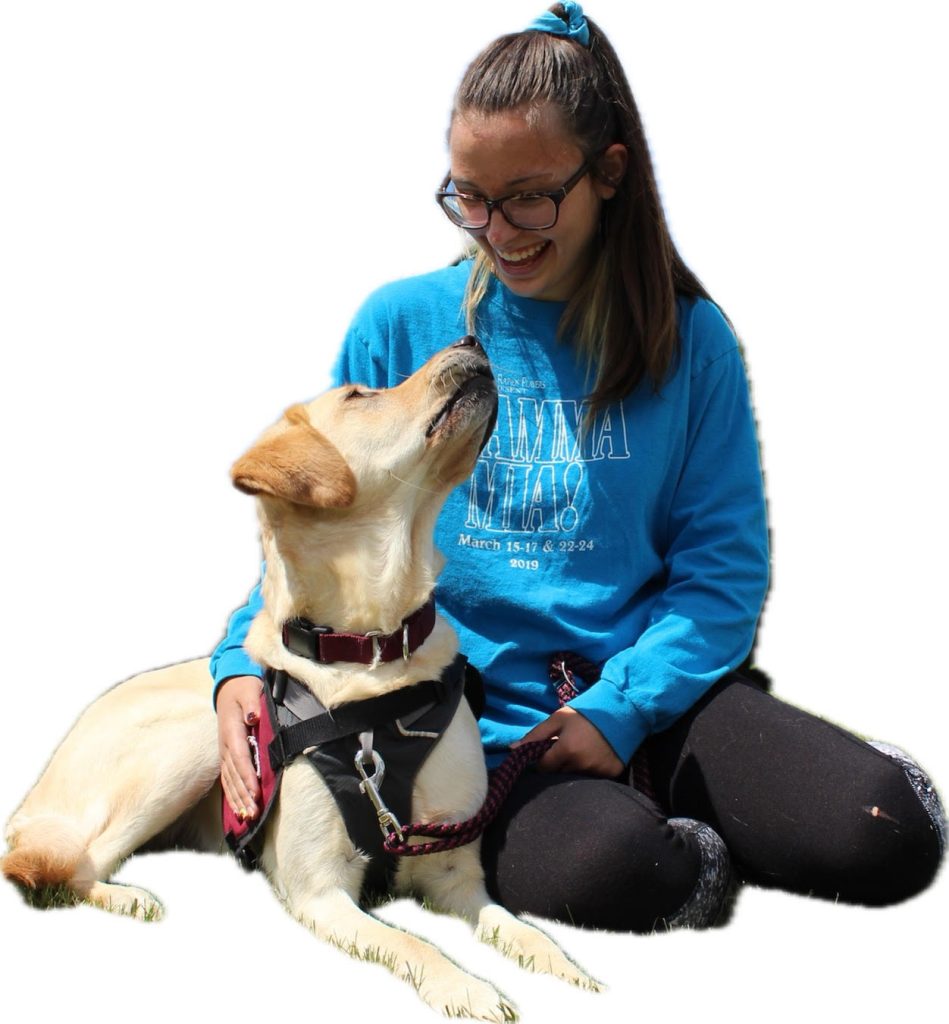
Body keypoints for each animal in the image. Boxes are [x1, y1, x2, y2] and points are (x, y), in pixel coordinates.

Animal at [1, 339, 593, 1019]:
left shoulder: (455, 873)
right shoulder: (321, 892)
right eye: (362, 394)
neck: (371, 655)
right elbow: (414, 944)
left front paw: (570, 971)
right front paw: (467, 988)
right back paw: (129, 897)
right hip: (198, 738)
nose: (470, 342)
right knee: (64, 867)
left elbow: (518, 927)